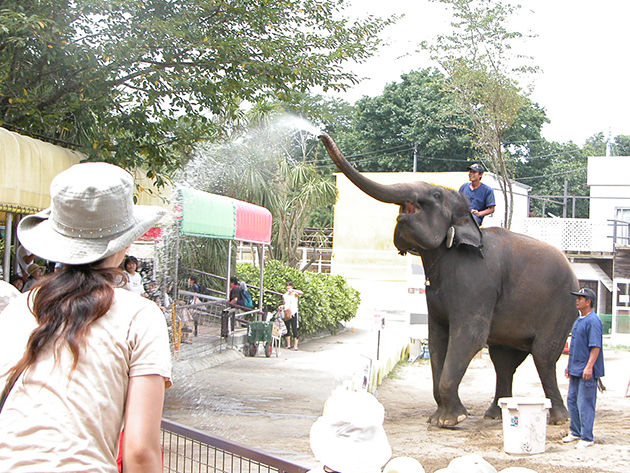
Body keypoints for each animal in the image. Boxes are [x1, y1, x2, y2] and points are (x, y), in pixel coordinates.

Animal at [320, 131, 584, 426]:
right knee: (503, 359)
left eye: (435, 195)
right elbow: (437, 339)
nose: (321, 134)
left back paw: (560, 420)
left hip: (563, 307)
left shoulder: (476, 285)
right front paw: (438, 418)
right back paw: (495, 415)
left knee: (544, 355)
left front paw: (451, 421)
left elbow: (469, 337)